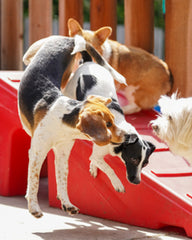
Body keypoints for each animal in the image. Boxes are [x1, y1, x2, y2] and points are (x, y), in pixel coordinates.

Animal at [18, 35, 127, 218]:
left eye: (113, 120)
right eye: (108, 124)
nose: (126, 135)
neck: (62, 123)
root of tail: (68, 38)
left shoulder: (62, 153)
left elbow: (63, 179)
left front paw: (66, 203)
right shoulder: (37, 153)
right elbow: (34, 181)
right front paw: (34, 207)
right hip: (31, 53)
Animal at [63, 44, 155, 189]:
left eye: (145, 163)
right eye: (134, 159)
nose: (137, 182)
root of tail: (88, 61)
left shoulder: (97, 154)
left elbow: (98, 162)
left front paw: (93, 168)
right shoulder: (97, 155)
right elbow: (108, 168)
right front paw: (117, 183)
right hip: (69, 92)